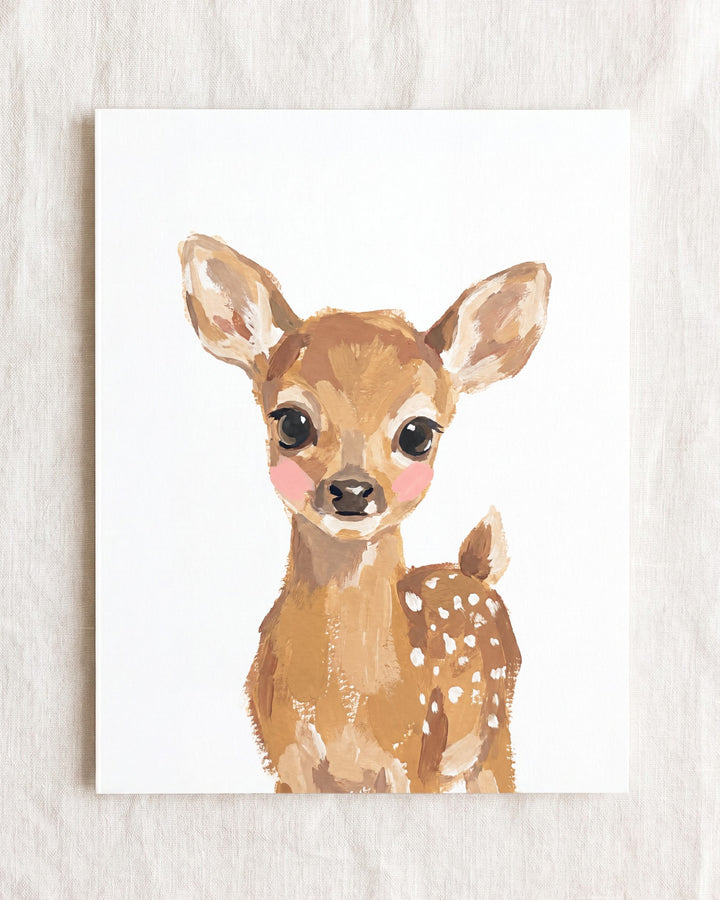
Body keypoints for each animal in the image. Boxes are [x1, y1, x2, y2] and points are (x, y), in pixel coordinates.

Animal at [180, 234, 550, 793]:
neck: (346, 707)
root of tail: (474, 572)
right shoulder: (287, 764)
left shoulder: (411, 760)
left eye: (418, 432)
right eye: (291, 422)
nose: (352, 489)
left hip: (493, 734)